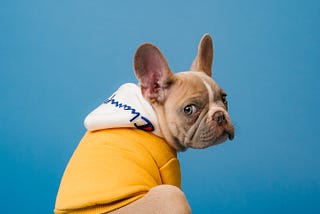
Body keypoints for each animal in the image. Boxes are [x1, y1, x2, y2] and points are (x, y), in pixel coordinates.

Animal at [54, 33, 235, 214]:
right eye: (189, 109)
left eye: (224, 99)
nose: (220, 115)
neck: (152, 113)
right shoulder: (169, 167)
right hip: (171, 194)